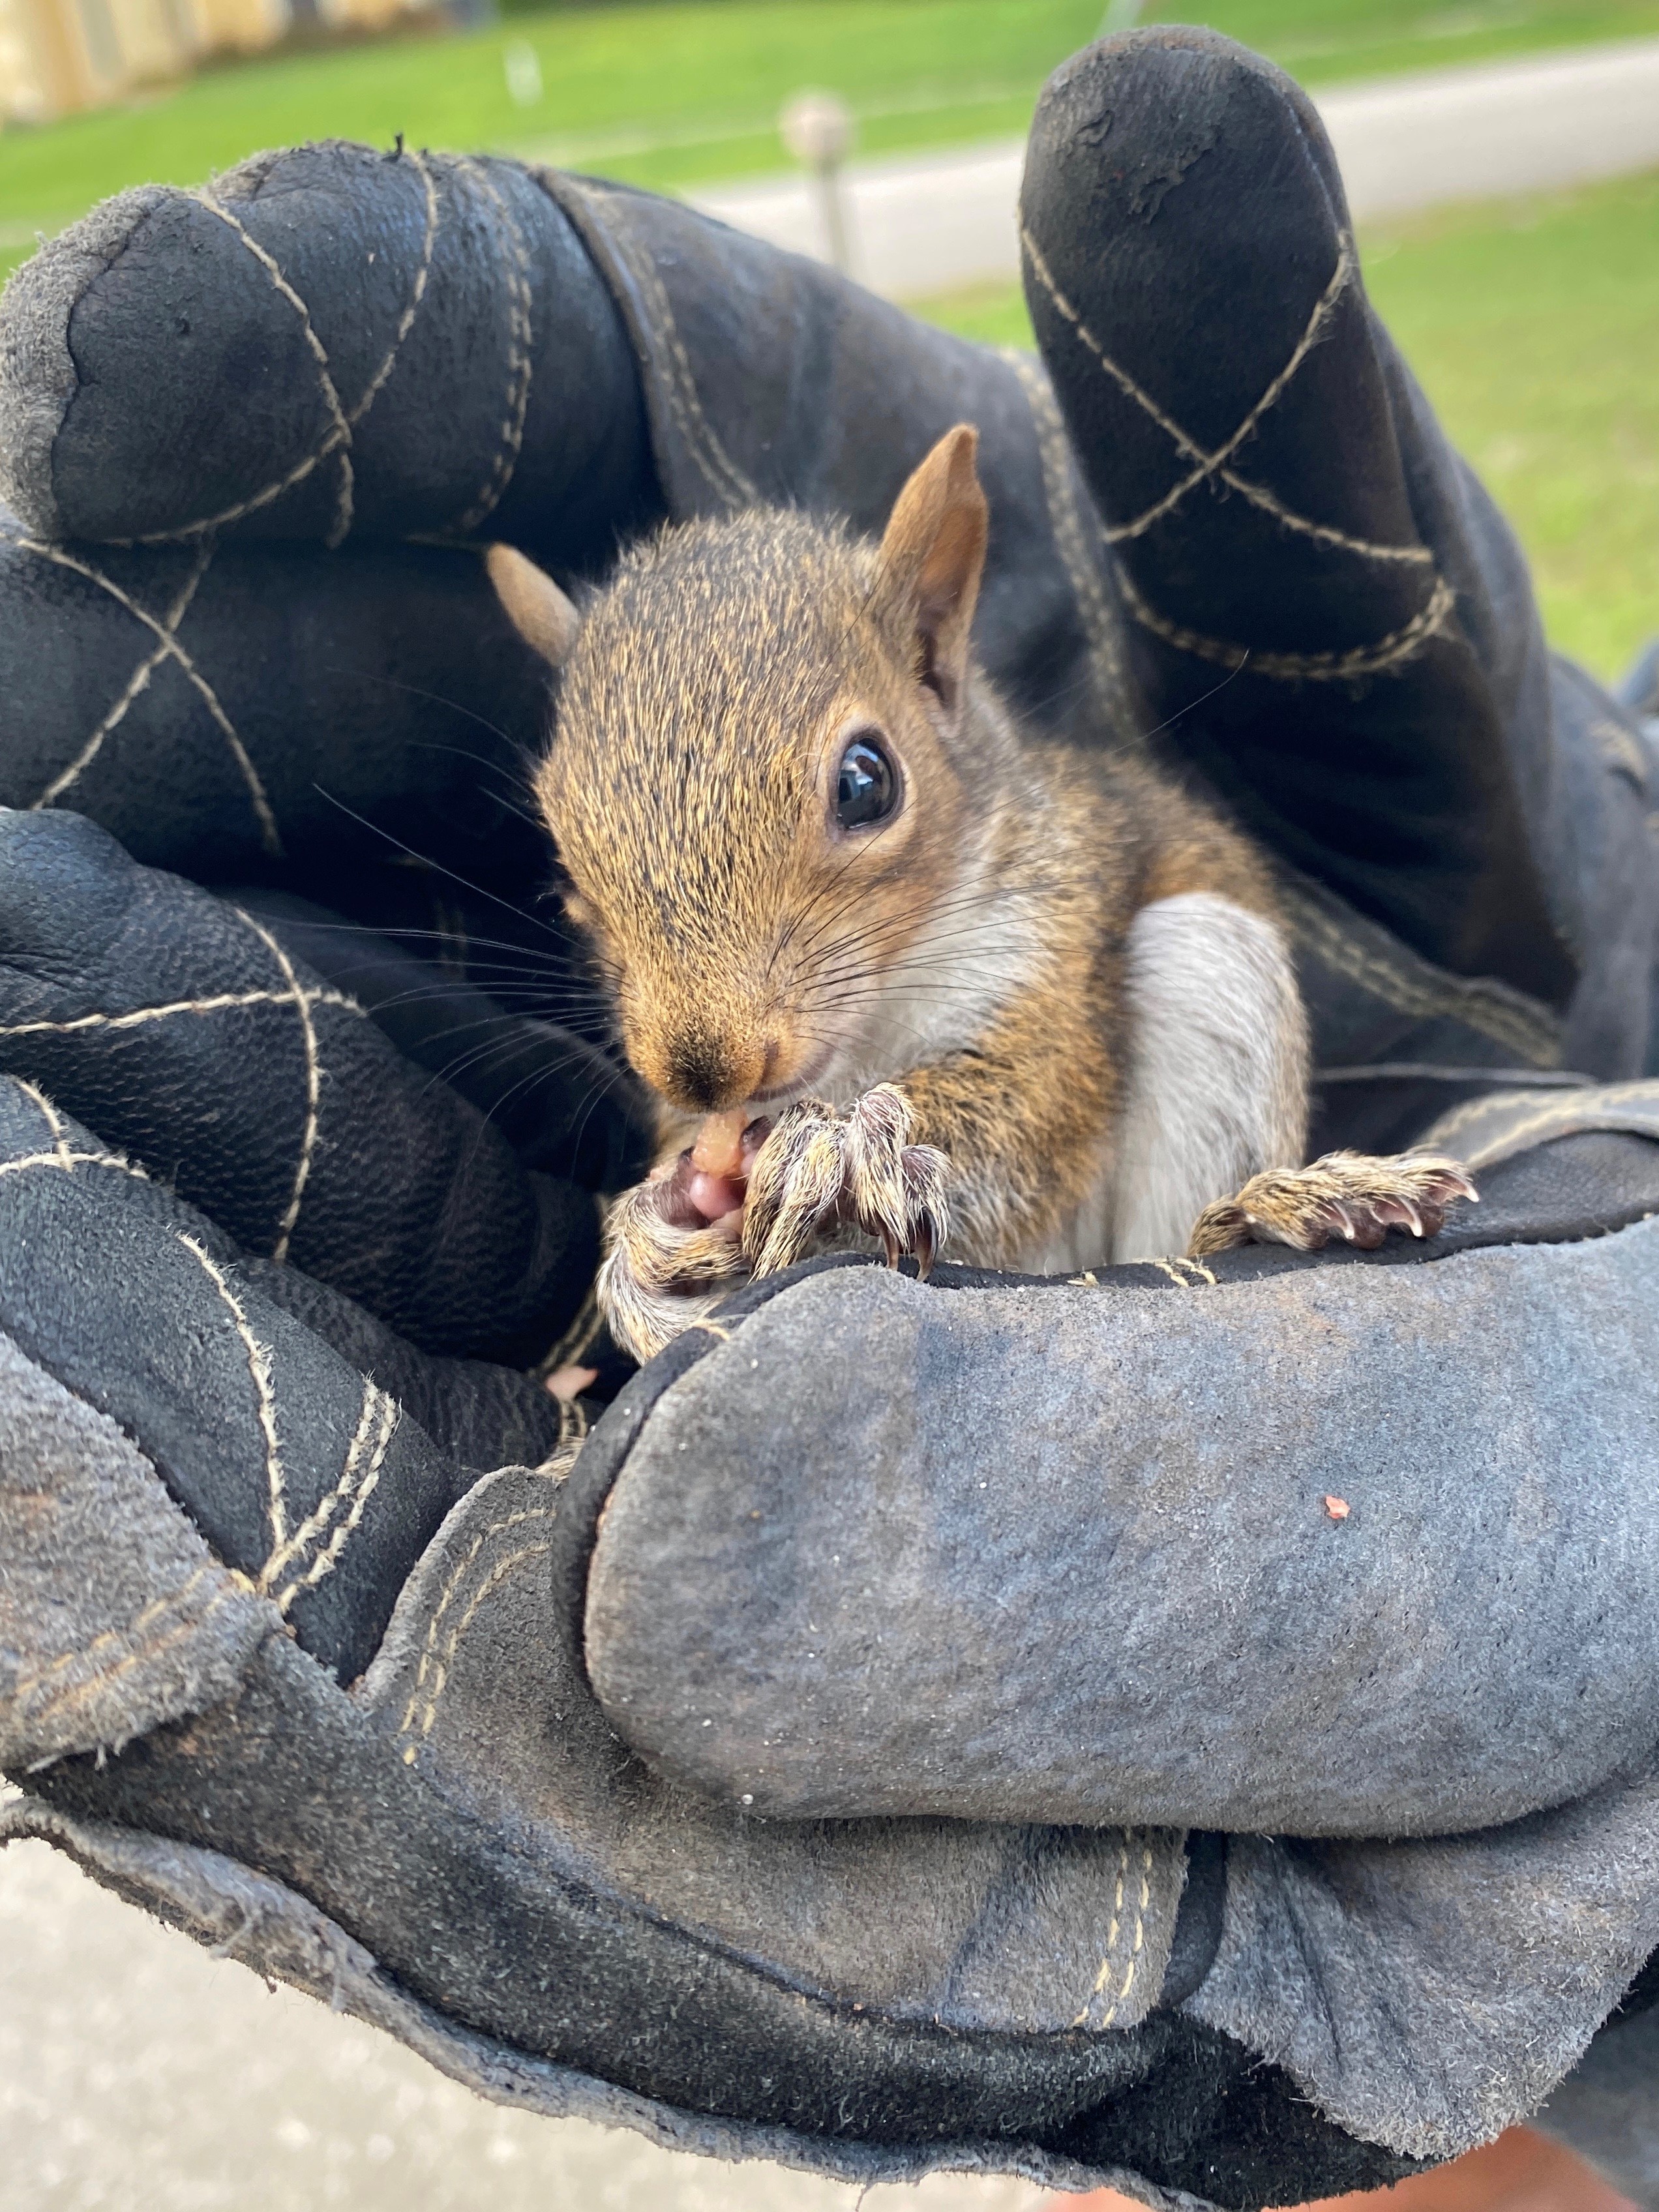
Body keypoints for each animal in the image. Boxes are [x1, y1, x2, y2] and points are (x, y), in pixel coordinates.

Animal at [488, 425, 1474, 1363]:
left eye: (865, 782)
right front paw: (649, 1227)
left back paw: (1299, 1201)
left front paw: (842, 1145)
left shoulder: (1057, 958)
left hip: (1213, 962)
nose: (706, 1069)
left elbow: (1027, 1117)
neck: (873, 1024)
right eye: (565, 868)